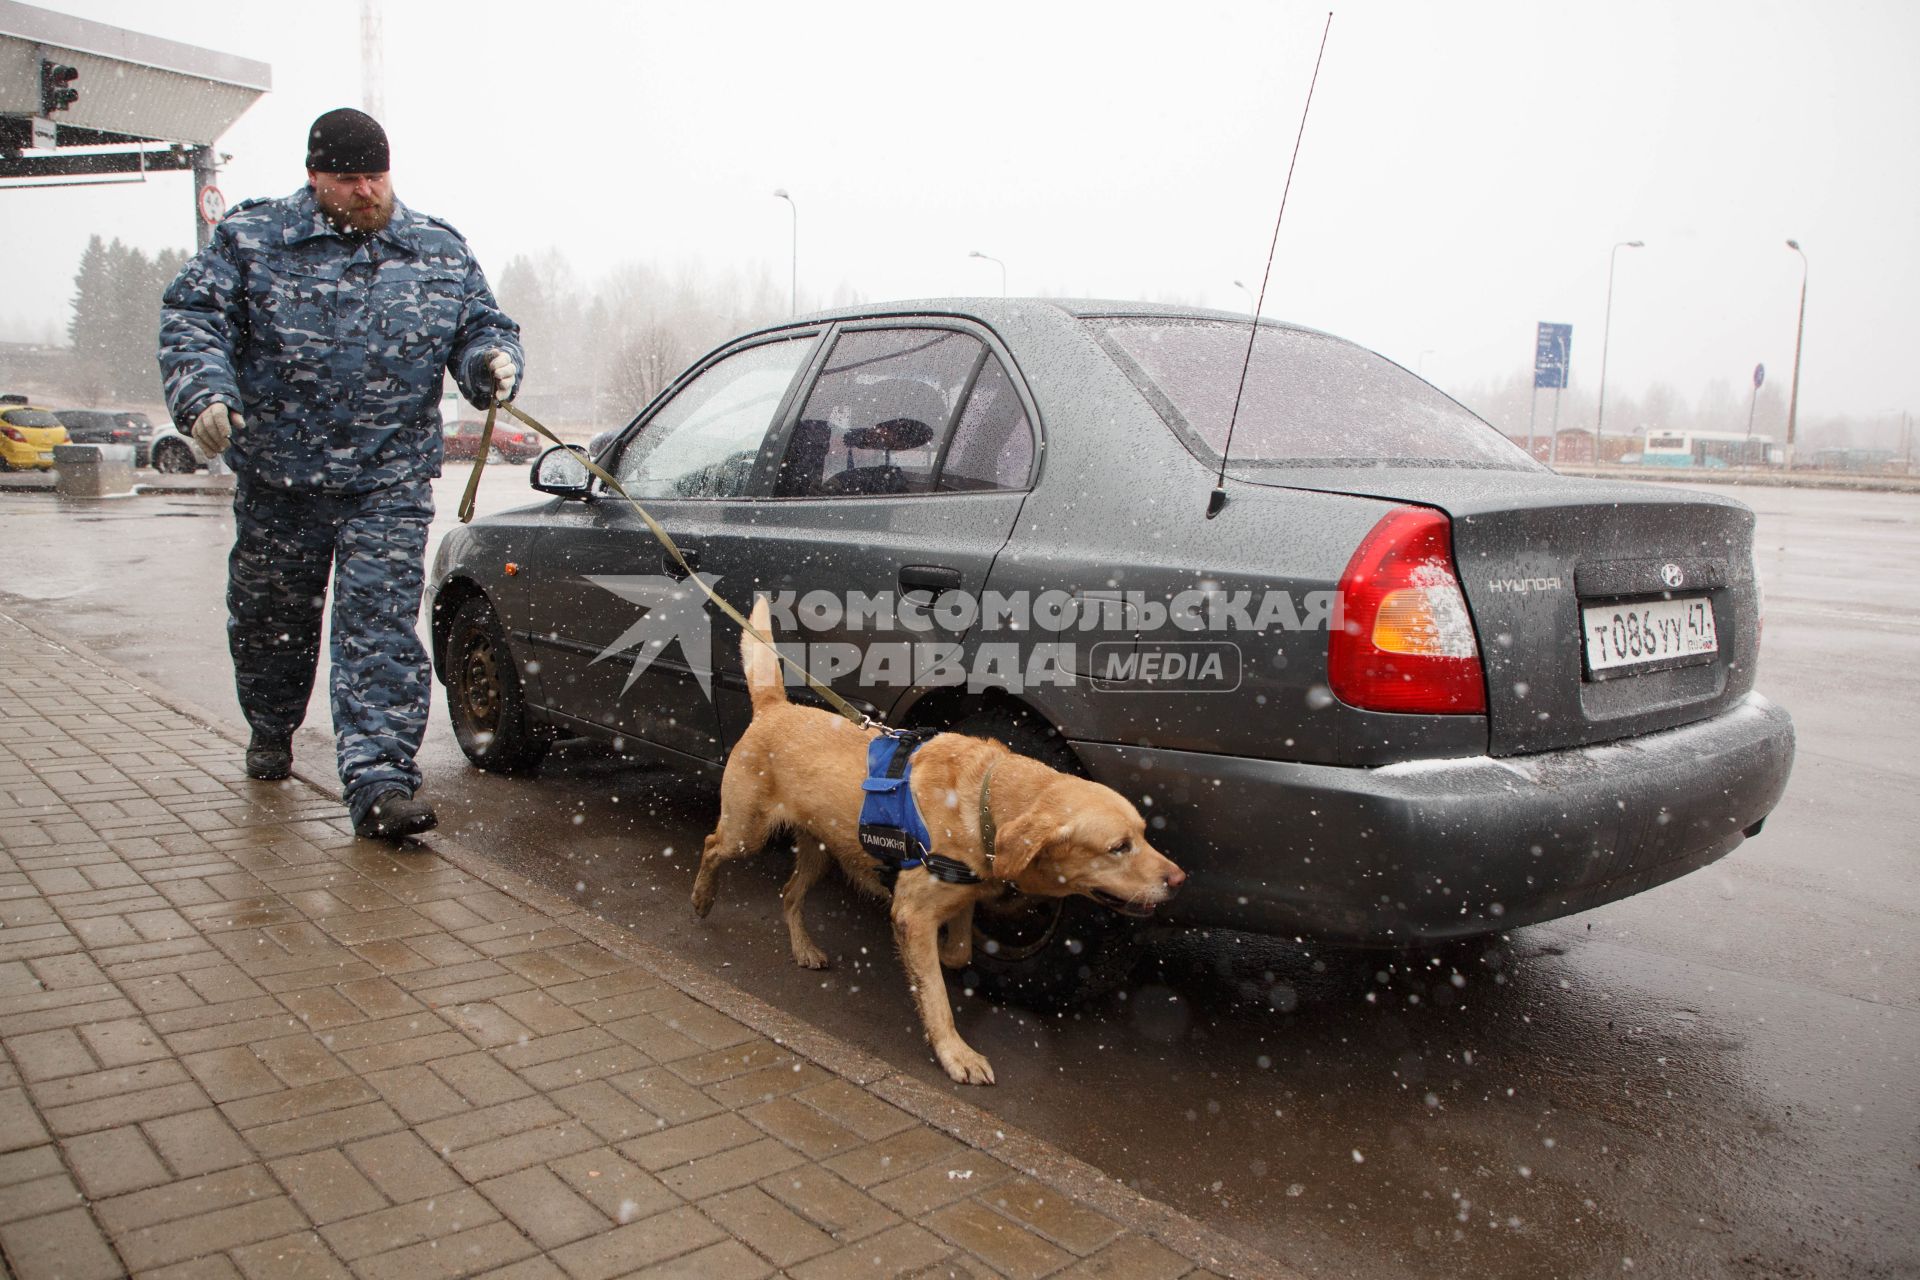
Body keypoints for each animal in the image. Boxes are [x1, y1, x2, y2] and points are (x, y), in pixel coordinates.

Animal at [691, 598, 1182, 1082]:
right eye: (1118, 847)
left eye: (1144, 833)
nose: (1179, 879)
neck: (985, 800)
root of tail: (776, 707)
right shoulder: (912, 912)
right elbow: (937, 998)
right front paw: (955, 1052)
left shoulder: (958, 896)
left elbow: (960, 952)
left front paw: (945, 958)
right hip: (746, 832)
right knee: (712, 844)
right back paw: (701, 898)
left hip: (821, 850)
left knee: (790, 892)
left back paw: (804, 948)